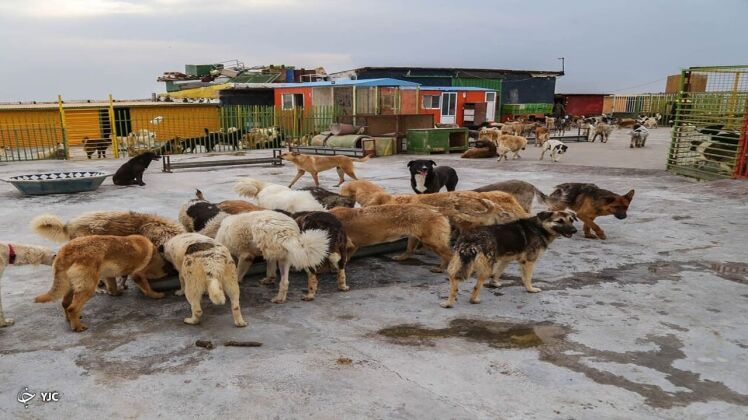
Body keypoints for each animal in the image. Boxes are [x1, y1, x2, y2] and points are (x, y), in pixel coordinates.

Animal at [33, 236, 165, 332]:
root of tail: (66, 252)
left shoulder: (109, 274)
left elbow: (112, 285)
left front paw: (116, 292)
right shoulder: (138, 274)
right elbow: (147, 288)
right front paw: (156, 295)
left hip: (69, 286)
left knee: (65, 304)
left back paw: (70, 320)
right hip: (87, 287)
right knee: (72, 308)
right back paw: (77, 327)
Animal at [444, 210, 580, 308]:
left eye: (571, 220)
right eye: (559, 221)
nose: (574, 230)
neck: (540, 227)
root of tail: (471, 239)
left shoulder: (506, 259)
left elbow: (498, 272)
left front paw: (494, 283)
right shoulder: (529, 261)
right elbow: (527, 278)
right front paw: (530, 289)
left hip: (456, 263)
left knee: (454, 281)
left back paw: (448, 303)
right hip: (485, 267)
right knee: (476, 287)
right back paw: (474, 299)